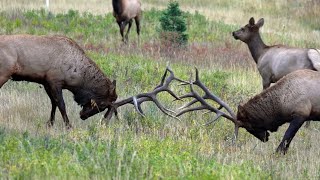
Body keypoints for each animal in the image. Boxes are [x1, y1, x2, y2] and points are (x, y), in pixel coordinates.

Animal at [176, 68, 320, 154]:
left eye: (248, 126)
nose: (265, 138)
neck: (282, 103)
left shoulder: (301, 113)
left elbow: (286, 138)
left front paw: (277, 154)